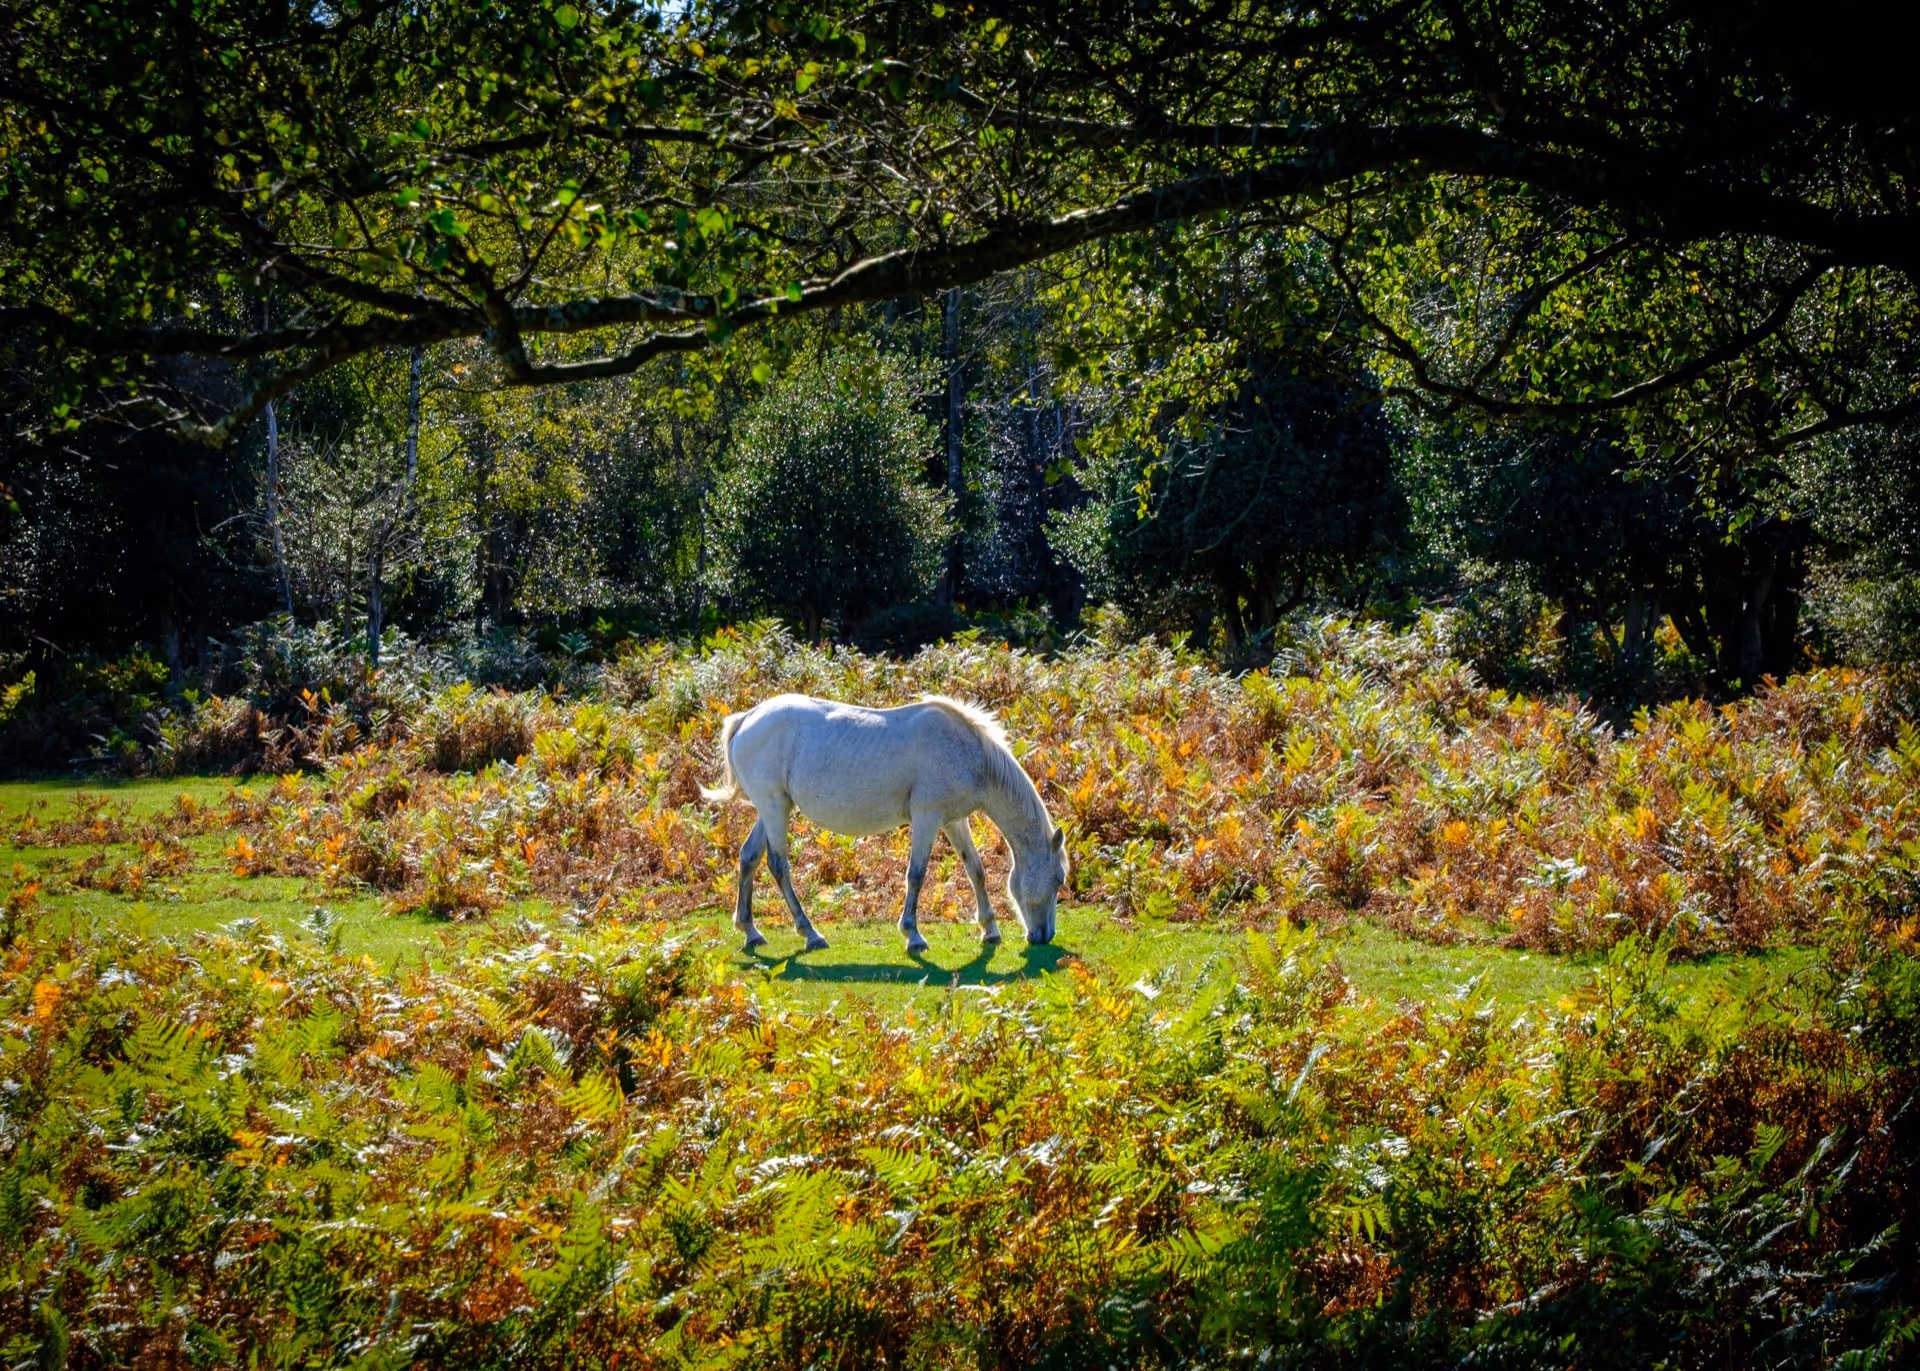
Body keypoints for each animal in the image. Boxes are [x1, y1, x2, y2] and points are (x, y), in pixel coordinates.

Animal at [701, 693, 1070, 954]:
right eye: (1059, 879)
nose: (1044, 936)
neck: (968, 751)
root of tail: (746, 719)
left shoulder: (954, 820)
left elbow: (975, 869)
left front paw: (989, 930)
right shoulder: (927, 817)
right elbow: (916, 875)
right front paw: (913, 936)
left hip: (771, 810)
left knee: (749, 857)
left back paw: (751, 931)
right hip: (774, 807)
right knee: (779, 865)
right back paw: (811, 934)